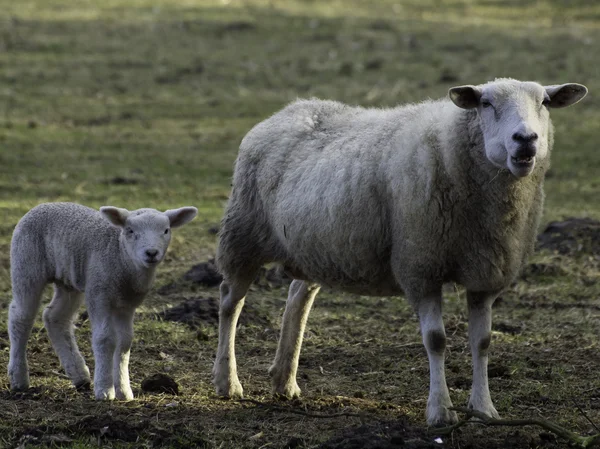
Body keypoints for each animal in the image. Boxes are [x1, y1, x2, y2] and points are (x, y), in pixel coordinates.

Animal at [7, 201, 197, 398]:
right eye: (130, 230)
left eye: (166, 230)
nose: (151, 253)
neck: (122, 257)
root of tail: (41, 205)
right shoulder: (99, 295)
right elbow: (105, 338)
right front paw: (105, 390)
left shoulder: (127, 305)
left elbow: (124, 342)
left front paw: (124, 391)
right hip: (26, 264)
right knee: (20, 317)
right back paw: (19, 378)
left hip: (69, 280)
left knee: (55, 318)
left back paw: (80, 375)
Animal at [214, 79, 584, 426]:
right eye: (486, 103)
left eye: (544, 102)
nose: (526, 139)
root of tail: (288, 110)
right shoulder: (420, 266)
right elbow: (436, 340)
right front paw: (440, 410)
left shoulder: (485, 274)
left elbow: (483, 342)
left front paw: (483, 409)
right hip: (242, 234)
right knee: (231, 303)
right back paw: (227, 381)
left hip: (315, 249)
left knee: (297, 300)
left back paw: (284, 381)